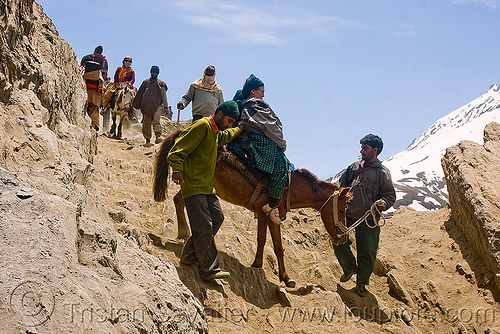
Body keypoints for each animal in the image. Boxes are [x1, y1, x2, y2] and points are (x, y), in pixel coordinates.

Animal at [153, 129, 352, 286]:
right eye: (342, 210)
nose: (342, 238)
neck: (288, 187)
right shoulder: (263, 212)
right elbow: (262, 239)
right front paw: (257, 264)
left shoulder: (274, 217)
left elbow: (279, 247)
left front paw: (286, 277)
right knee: (180, 200)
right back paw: (185, 233)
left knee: (178, 200)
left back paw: (183, 233)